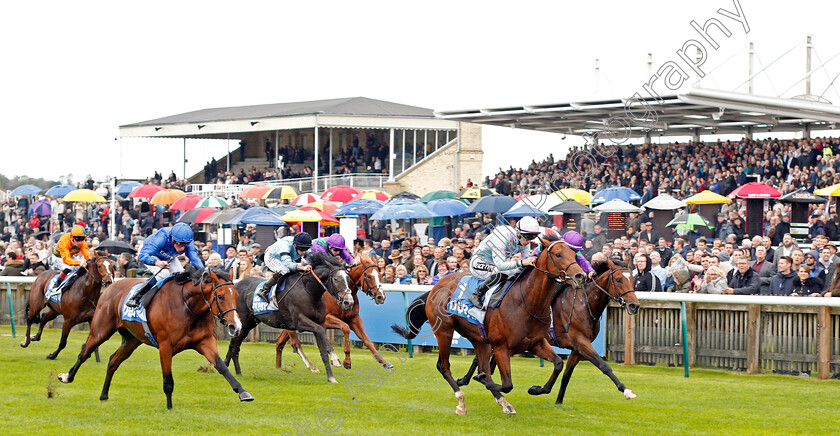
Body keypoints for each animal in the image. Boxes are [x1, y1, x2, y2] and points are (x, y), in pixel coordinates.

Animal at [57, 266, 251, 408]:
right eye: (220, 296)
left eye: (236, 295)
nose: (236, 326)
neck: (187, 306)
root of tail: (110, 286)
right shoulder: (165, 346)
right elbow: (168, 380)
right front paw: (170, 408)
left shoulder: (204, 341)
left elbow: (221, 367)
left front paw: (243, 392)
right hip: (100, 330)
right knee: (84, 352)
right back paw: (67, 376)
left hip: (132, 340)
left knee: (113, 361)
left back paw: (104, 395)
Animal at [225, 254, 352, 384]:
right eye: (336, 279)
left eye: (348, 279)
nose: (349, 302)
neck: (308, 290)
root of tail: (234, 285)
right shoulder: (300, 322)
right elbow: (320, 332)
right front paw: (335, 358)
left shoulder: (320, 322)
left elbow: (322, 350)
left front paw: (331, 377)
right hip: (241, 322)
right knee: (233, 345)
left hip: (249, 323)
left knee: (234, 346)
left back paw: (233, 371)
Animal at [392, 235, 584, 416]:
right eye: (558, 254)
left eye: (574, 254)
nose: (580, 276)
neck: (526, 302)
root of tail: (436, 286)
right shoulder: (501, 347)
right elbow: (506, 384)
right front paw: (479, 379)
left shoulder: (535, 343)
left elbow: (558, 364)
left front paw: (536, 389)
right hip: (444, 331)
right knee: (444, 366)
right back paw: (462, 401)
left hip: (479, 338)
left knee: (481, 364)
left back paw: (503, 402)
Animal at [452, 258, 644, 406]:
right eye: (618, 280)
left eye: (632, 280)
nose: (634, 305)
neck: (584, 304)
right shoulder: (581, 342)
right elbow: (604, 366)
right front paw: (626, 390)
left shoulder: (577, 349)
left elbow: (566, 375)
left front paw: (558, 400)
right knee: (480, 358)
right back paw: (467, 379)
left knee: (486, 359)